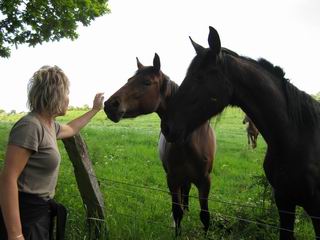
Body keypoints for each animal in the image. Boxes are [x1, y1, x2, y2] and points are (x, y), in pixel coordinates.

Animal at [104, 53, 216, 235]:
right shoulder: (172, 179)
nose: (109, 105)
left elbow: (205, 216)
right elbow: (177, 213)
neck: (189, 140)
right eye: (129, 80)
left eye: (147, 82)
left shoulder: (205, 180)